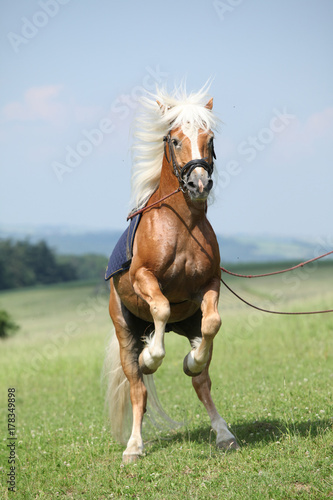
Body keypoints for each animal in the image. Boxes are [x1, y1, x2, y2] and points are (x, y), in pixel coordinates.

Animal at [105, 85, 237, 460]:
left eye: (209, 139)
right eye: (175, 140)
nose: (199, 183)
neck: (182, 225)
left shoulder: (209, 285)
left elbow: (213, 324)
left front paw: (191, 360)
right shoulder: (144, 278)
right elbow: (162, 308)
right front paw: (151, 355)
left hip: (188, 324)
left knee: (202, 381)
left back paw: (224, 434)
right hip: (125, 332)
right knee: (137, 388)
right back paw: (134, 447)